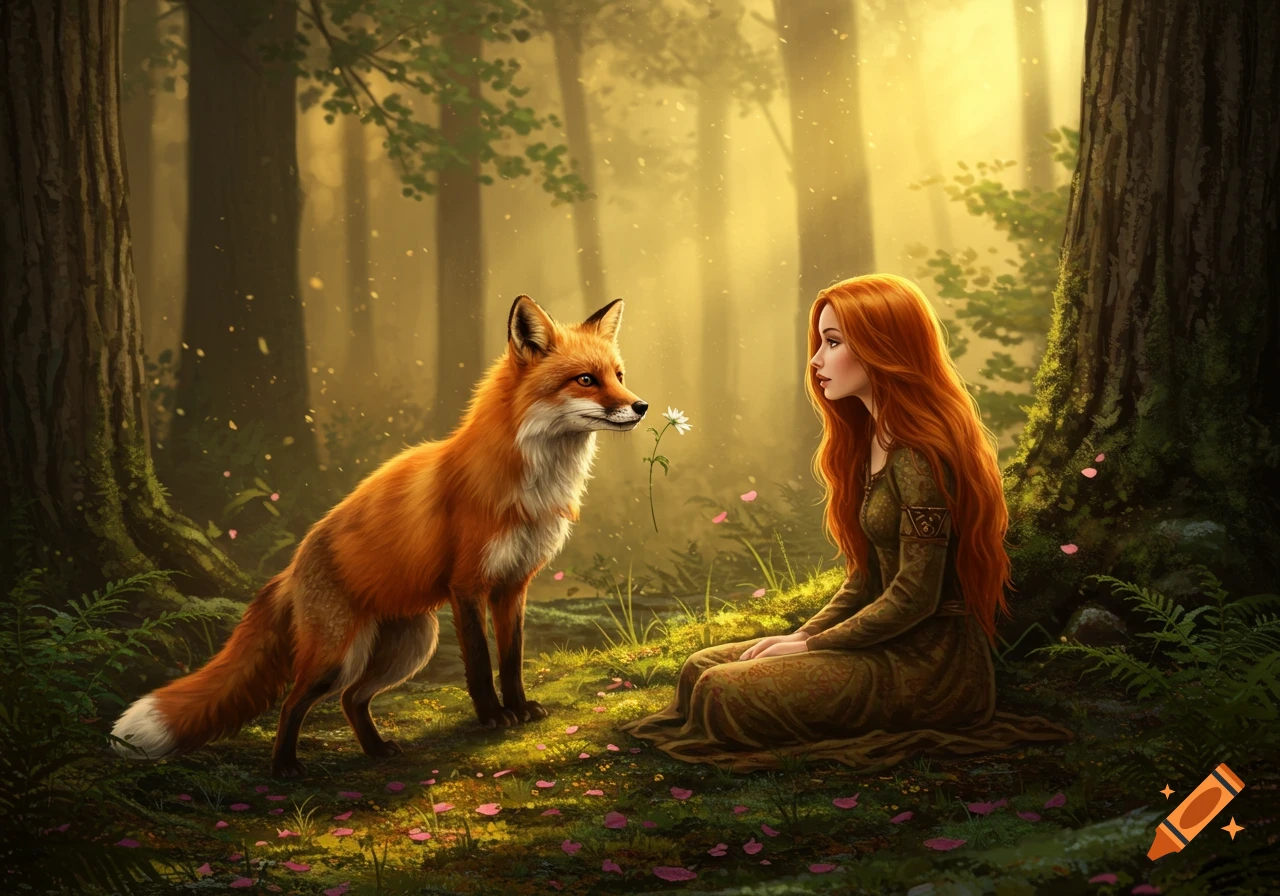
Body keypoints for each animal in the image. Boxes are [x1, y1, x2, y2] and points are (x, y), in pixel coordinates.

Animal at [111, 295, 647, 777]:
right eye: (585, 379)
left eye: (619, 376)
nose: (641, 405)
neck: (529, 480)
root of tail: (292, 565)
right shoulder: (467, 585)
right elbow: (479, 663)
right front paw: (493, 717)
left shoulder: (514, 584)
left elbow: (512, 659)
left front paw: (519, 708)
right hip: (340, 656)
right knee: (293, 701)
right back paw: (284, 767)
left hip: (410, 644)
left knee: (351, 700)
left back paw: (374, 750)